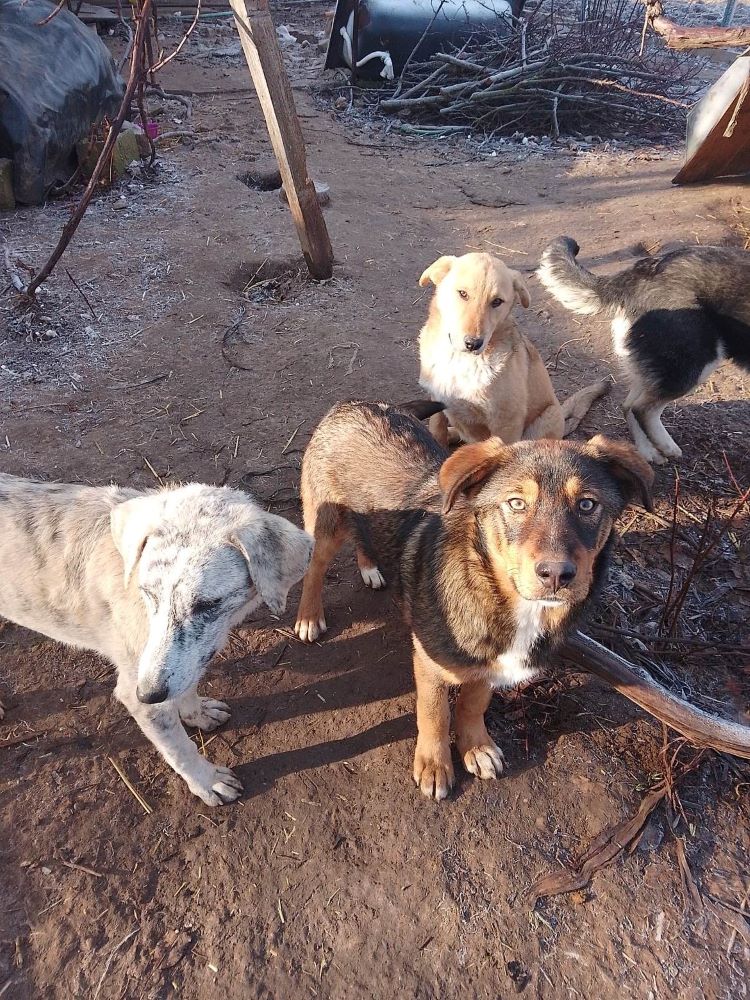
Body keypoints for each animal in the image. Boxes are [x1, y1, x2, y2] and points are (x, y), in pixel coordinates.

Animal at [0, 474, 312, 804]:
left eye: (208, 604)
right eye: (148, 593)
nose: (147, 693)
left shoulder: (184, 661)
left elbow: (186, 686)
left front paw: (197, 713)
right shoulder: (141, 696)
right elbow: (179, 748)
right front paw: (208, 781)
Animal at [294, 402, 652, 800]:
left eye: (588, 504)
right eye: (516, 503)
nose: (557, 575)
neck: (499, 594)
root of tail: (353, 405)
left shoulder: (491, 663)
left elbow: (473, 703)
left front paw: (476, 747)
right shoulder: (430, 662)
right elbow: (435, 714)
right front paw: (434, 766)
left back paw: (371, 567)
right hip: (325, 525)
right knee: (313, 568)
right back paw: (309, 617)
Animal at [420, 254, 608, 450]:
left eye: (497, 302)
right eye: (462, 294)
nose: (473, 343)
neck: (459, 360)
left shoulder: (506, 423)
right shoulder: (436, 401)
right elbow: (436, 427)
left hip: (546, 419)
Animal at [540, 240, 750, 462]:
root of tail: (636, 274)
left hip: (654, 366)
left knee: (628, 406)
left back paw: (647, 452)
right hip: (691, 364)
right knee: (642, 410)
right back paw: (666, 446)